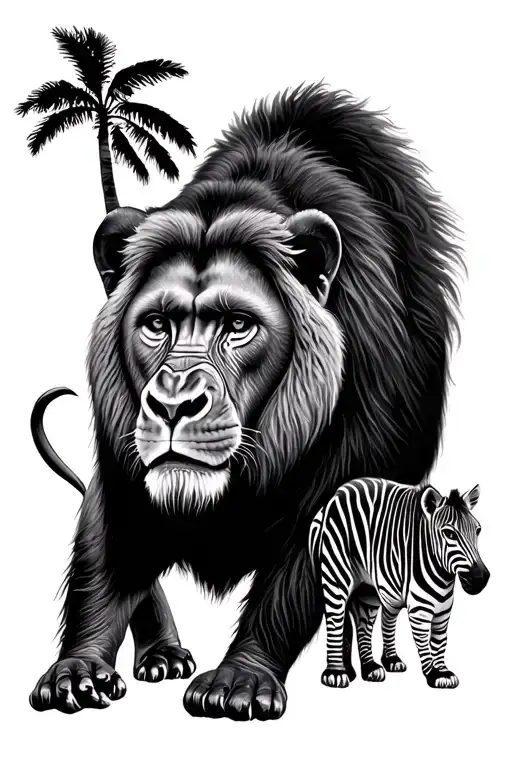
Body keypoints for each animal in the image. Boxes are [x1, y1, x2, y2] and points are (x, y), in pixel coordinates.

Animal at [29, 83, 462, 720]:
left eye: (237, 324)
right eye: (156, 324)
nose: (174, 405)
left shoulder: (345, 482)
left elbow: (293, 581)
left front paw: (239, 681)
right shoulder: (123, 477)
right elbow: (103, 567)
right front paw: (77, 671)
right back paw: (162, 657)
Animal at [309, 478, 489, 689]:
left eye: (478, 531)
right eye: (449, 534)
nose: (480, 578)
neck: (442, 576)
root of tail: (335, 495)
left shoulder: (444, 610)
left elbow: (440, 640)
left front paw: (442, 670)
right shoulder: (420, 609)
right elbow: (423, 640)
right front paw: (433, 673)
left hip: (368, 589)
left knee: (364, 623)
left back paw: (371, 667)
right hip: (335, 574)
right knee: (336, 619)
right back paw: (336, 672)